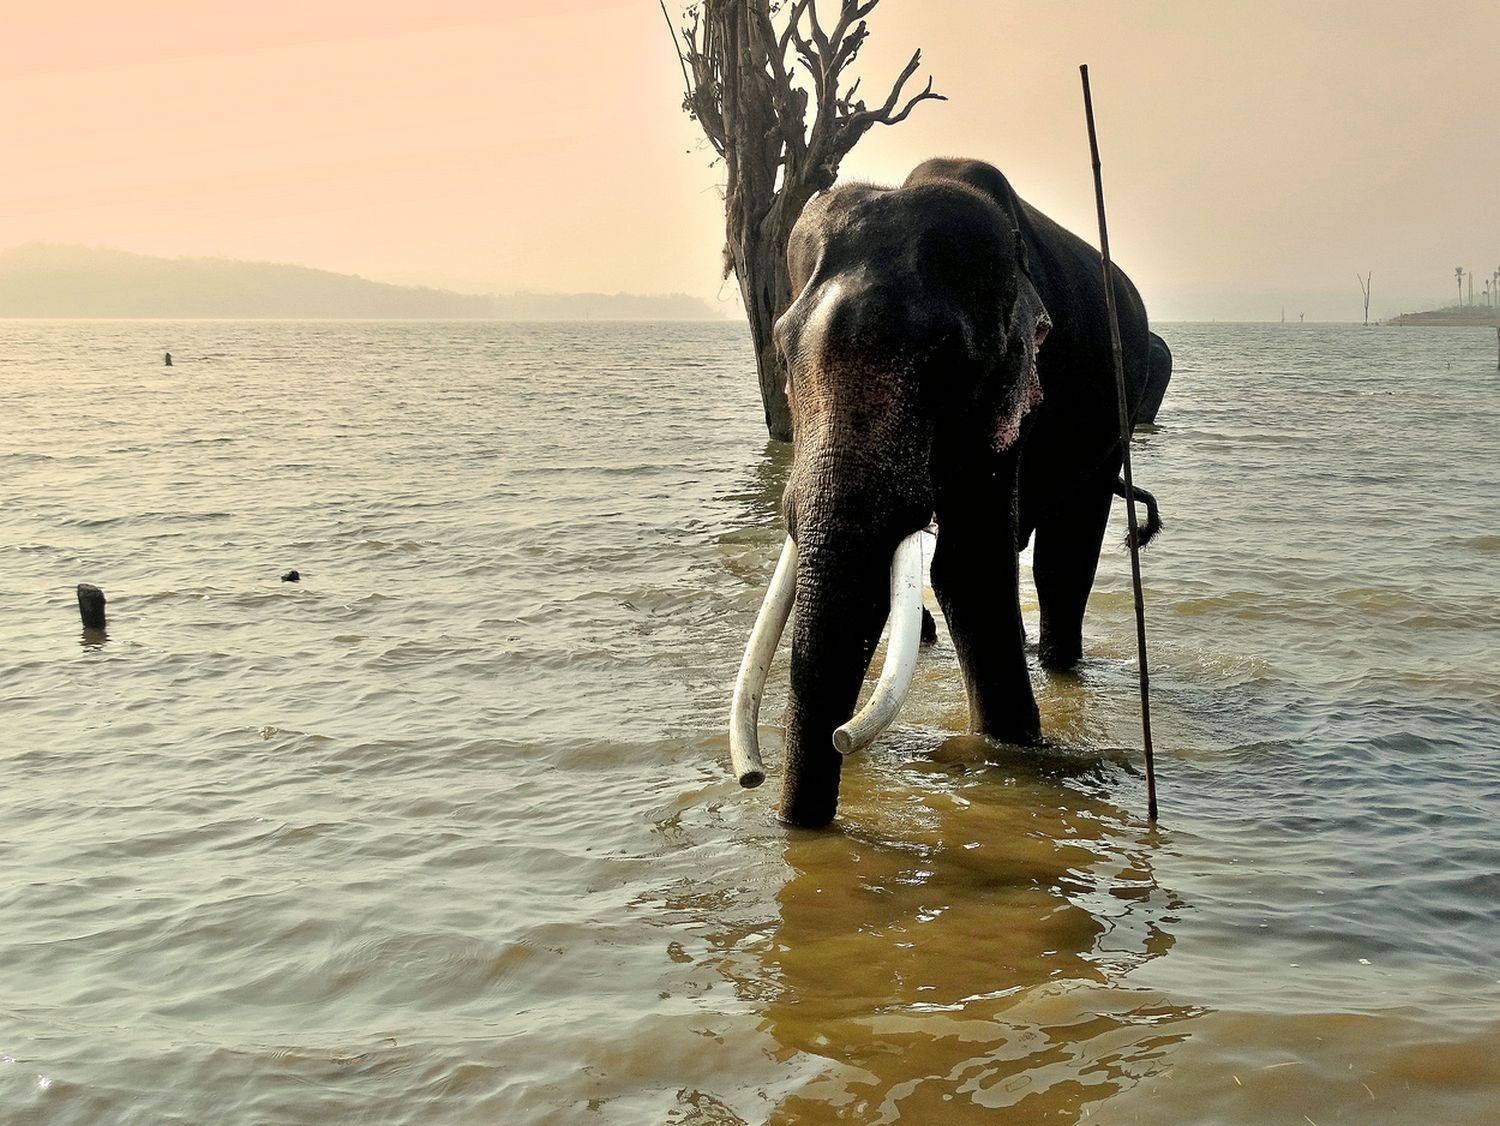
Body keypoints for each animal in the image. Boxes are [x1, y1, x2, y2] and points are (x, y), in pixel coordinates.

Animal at [729, 157, 1162, 828]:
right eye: (780, 351)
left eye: (948, 358)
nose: (763, 792)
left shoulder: (1014, 392)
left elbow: (969, 565)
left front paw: (1014, 746)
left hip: (1116, 412)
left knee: (1065, 559)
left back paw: (1059, 665)